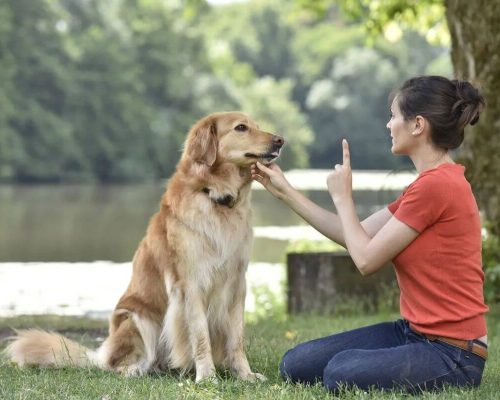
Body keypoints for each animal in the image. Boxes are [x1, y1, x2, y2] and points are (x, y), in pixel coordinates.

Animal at [5, 111, 286, 382]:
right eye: (241, 127)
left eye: (256, 125)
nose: (280, 140)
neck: (215, 197)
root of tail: (100, 354)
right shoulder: (191, 284)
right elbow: (200, 336)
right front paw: (206, 376)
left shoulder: (237, 283)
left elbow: (237, 339)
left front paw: (245, 375)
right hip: (137, 319)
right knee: (118, 364)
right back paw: (136, 370)